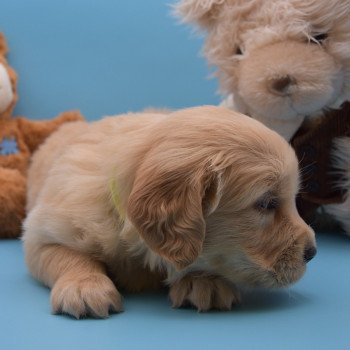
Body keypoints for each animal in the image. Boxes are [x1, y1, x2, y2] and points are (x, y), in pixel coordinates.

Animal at [23, 106, 316, 318]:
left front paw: (204, 281)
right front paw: (84, 287)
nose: (312, 253)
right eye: (266, 203)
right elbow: (67, 256)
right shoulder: (43, 232)